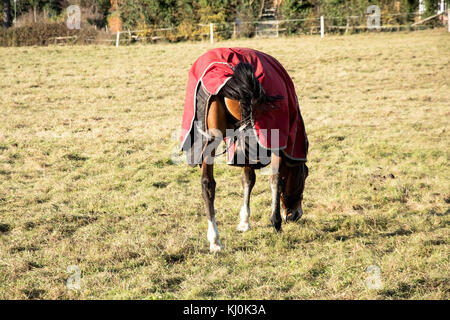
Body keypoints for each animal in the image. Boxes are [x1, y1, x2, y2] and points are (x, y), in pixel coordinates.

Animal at [180, 48, 310, 252]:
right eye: (305, 175)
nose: (296, 214)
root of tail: (228, 74)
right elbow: (275, 180)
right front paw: (275, 222)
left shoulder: (245, 144)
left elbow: (248, 179)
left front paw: (244, 221)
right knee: (273, 179)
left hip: (211, 136)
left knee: (207, 184)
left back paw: (214, 239)